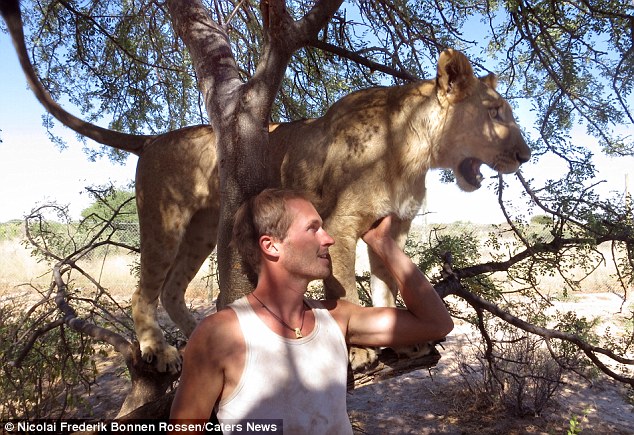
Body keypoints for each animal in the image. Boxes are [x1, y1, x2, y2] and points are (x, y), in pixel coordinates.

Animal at [3, 0, 528, 374]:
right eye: (495, 112)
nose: (524, 155)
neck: (417, 151)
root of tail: (154, 137)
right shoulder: (340, 223)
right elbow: (345, 288)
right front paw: (359, 351)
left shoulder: (389, 230)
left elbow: (385, 289)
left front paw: (405, 336)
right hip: (164, 222)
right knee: (144, 290)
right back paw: (160, 349)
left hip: (201, 229)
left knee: (173, 290)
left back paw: (199, 334)